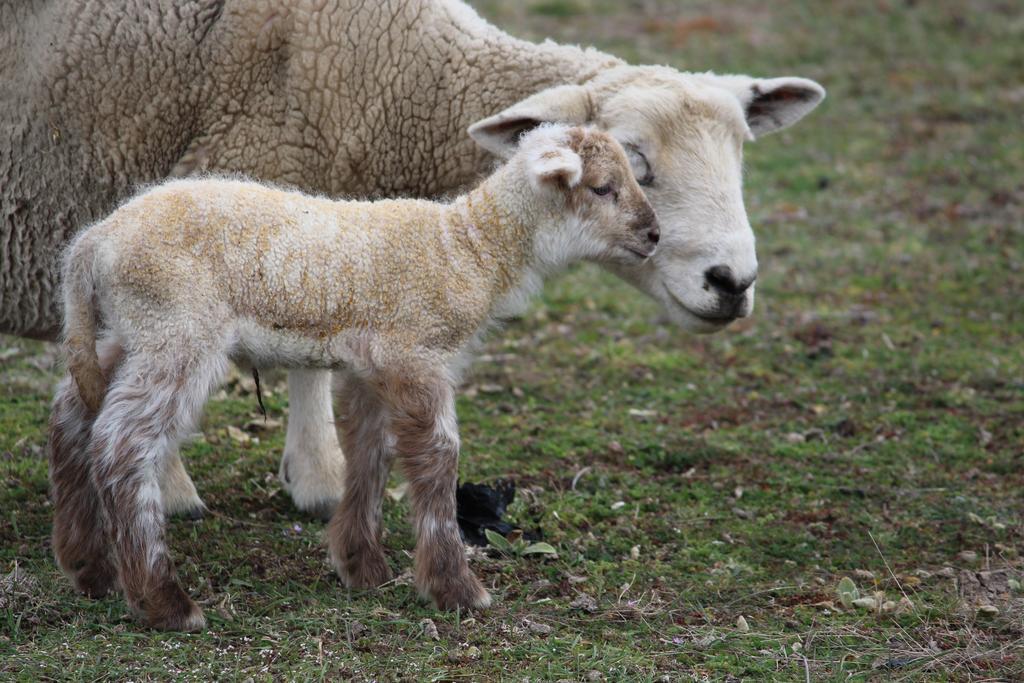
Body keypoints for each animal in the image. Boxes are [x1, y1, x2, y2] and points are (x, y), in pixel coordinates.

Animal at [2, 0, 823, 518]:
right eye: (631, 162)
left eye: (741, 156)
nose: (733, 282)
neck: (395, 77)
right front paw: (271, 480)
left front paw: (312, 473)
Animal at [49, 126, 655, 630]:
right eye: (602, 188)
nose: (652, 235)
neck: (468, 249)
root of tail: (93, 243)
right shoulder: (414, 353)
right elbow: (437, 458)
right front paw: (454, 588)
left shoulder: (371, 365)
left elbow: (370, 451)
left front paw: (361, 566)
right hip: (177, 329)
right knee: (122, 443)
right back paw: (164, 602)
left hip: (128, 331)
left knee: (71, 413)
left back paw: (88, 567)